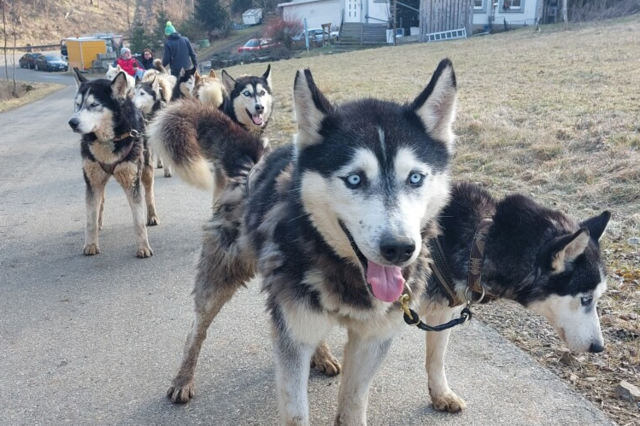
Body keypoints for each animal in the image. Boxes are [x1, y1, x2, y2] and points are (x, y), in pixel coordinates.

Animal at [69, 68, 158, 258]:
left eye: (94, 104)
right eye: (77, 104)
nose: (72, 122)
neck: (107, 140)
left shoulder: (132, 180)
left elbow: (138, 221)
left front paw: (143, 247)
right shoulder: (92, 181)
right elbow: (90, 219)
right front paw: (91, 243)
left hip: (146, 169)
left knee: (149, 192)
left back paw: (152, 215)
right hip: (98, 178)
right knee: (100, 199)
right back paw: (99, 222)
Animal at [162, 59, 458, 426]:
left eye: (415, 177)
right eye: (354, 179)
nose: (400, 249)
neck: (343, 270)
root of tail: (253, 166)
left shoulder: (372, 339)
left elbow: (353, 404)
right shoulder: (292, 338)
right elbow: (295, 411)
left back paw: (322, 355)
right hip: (221, 278)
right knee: (196, 329)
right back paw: (183, 378)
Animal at [420, 182, 608, 412]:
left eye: (597, 298)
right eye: (586, 299)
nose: (599, 347)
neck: (480, 243)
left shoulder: (443, 315)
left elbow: (436, 358)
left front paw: (441, 394)